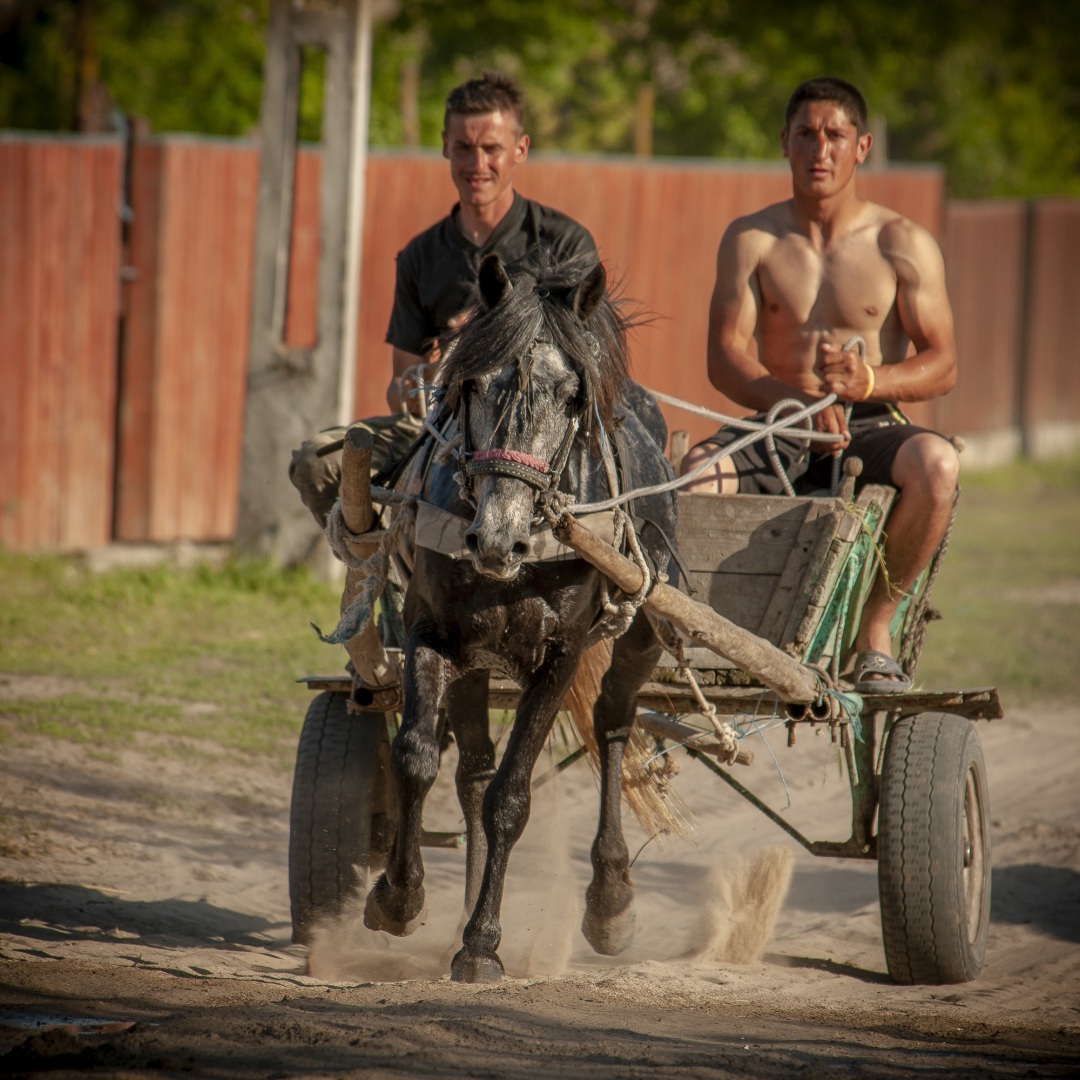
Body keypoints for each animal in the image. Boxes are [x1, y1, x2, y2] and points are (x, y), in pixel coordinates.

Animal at [367, 248, 678, 984]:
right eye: (473, 385)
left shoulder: (560, 656)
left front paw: (483, 944)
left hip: (641, 635)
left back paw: (611, 897)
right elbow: (416, 757)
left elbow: (511, 798)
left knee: (614, 724)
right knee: (472, 767)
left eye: (572, 398)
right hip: (477, 657)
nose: (495, 540)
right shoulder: (432, 630)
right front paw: (399, 896)